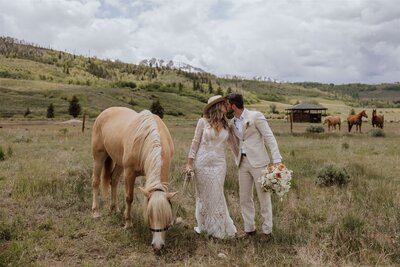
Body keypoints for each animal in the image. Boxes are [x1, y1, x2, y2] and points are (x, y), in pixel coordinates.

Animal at [92, 107, 177, 251]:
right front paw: (128, 224)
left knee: (114, 180)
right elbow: (129, 198)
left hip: (119, 162)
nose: (158, 246)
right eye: (150, 215)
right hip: (99, 157)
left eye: (167, 217)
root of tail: (104, 112)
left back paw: (114, 208)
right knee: (96, 182)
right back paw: (96, 212)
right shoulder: (129, 173)